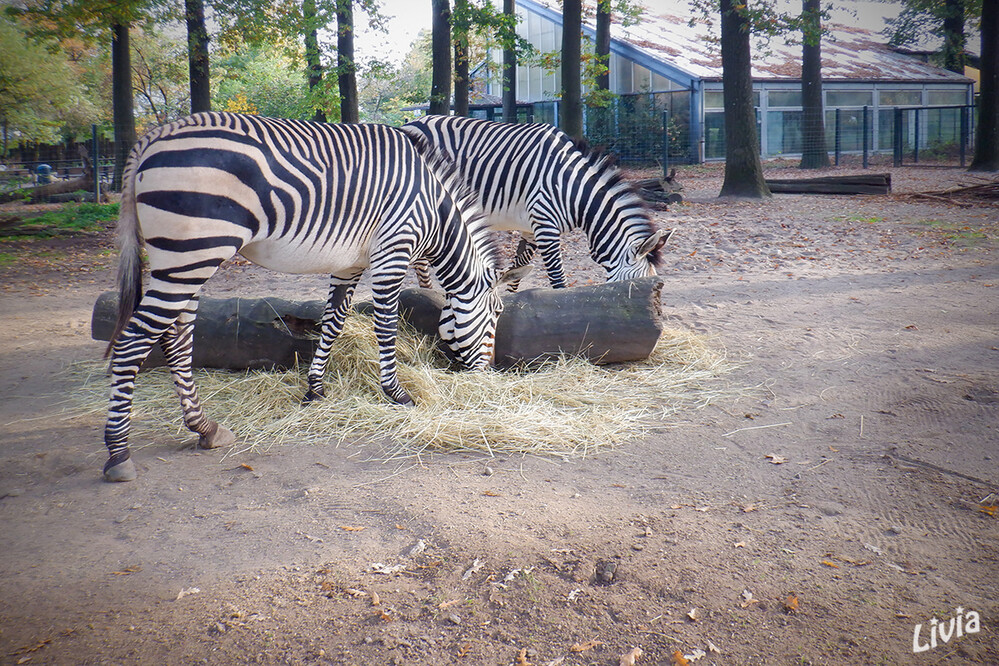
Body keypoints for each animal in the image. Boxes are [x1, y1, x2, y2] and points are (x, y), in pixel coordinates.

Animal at [101, 111, 528, 480]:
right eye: (495, 313)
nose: (489, 371)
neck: (435, 210)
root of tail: (153, 136)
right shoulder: (393, 251)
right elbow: (385, 326)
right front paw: (397, 394)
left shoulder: (350, 264)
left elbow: (333, 323)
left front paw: (315, 389)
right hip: (192, 252)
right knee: (134, 339)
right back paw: (119, 453)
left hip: (186, 259)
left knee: (177, 338)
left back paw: (205, 428)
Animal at [400, 113, 672, 288]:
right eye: (636, 288)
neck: (572, 188)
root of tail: (410, 122)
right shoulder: (545, 226)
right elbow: (558, 279)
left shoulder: (531, 229)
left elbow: (518, 272)